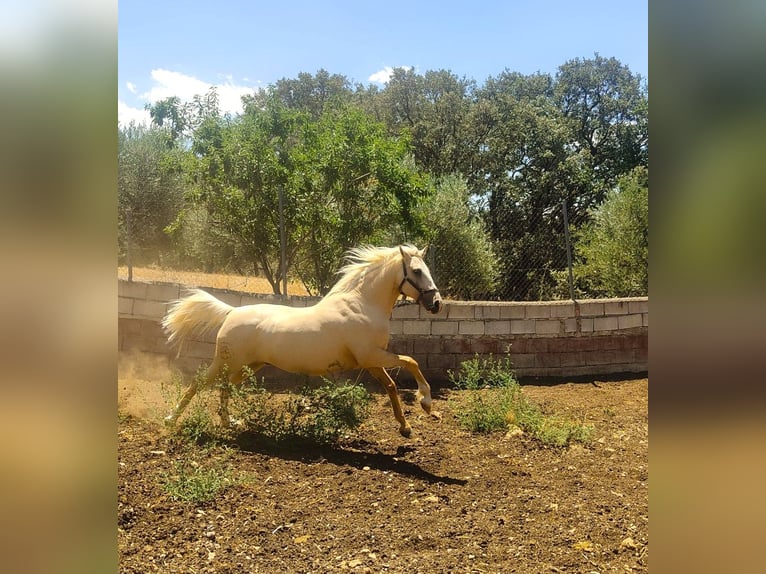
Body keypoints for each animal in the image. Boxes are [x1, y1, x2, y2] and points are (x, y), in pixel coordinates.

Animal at [165, 245, 448, 438]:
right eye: (417, 271)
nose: (436, 304)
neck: (361, 304)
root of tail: (232, 312)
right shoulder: (371, 356)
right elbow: (411, 362)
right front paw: (426, 403)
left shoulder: (372, 361)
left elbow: (391, 386)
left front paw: (406, 427)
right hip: (226, 362)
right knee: (198, 384)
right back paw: (171, 420)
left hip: (249, 366)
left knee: (225, 388)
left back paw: (229, 423)